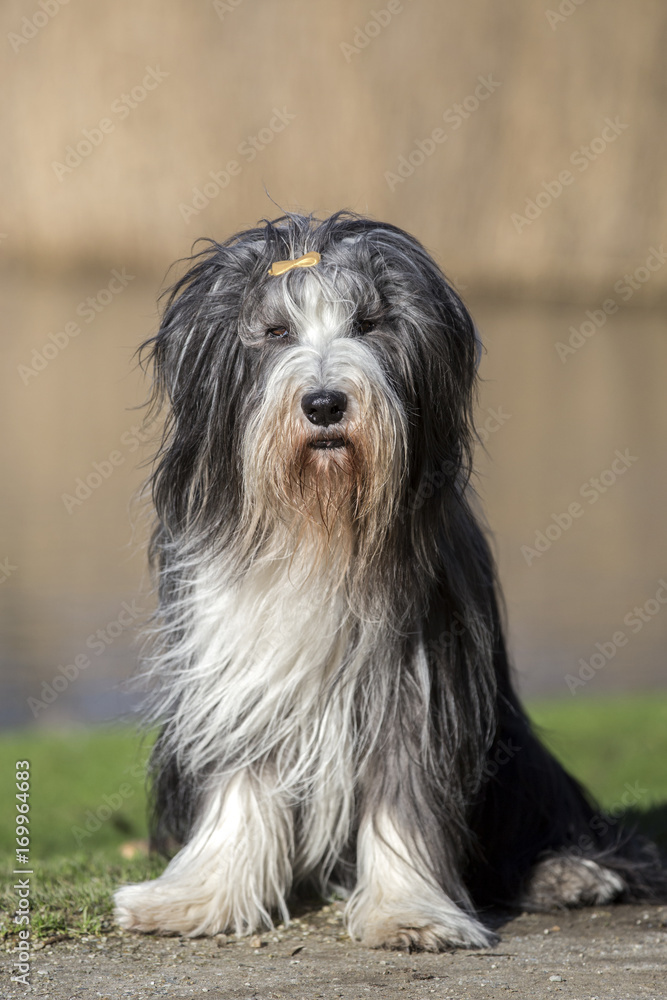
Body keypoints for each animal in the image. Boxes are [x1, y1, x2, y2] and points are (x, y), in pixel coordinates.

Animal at [113, 211, 664, 944]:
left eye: (369, 323)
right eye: (275, 332)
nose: (324, 403)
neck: (320, 528)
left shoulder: (418, 680)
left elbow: (403, 794)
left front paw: (407, 911)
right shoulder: (239, 670)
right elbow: (239, 783)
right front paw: (196, 899)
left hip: (513, 750)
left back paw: (570, 872)